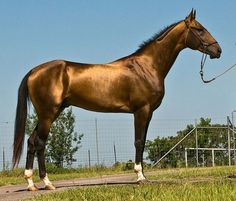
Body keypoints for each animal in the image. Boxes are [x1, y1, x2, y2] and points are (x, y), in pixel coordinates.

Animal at [12, 9, 220, 192]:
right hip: (48, 115)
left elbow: (143, 142)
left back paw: (31, 184)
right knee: (40, 143)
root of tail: (34, 71)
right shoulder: (141, 110)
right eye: (199, 29)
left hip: (49, 114)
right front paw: (140, 177)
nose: (218, 50)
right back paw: (47, 183)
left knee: (32, 141)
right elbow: (138, 142)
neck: (146, 67)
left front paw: (143, 176)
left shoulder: (149, 113)